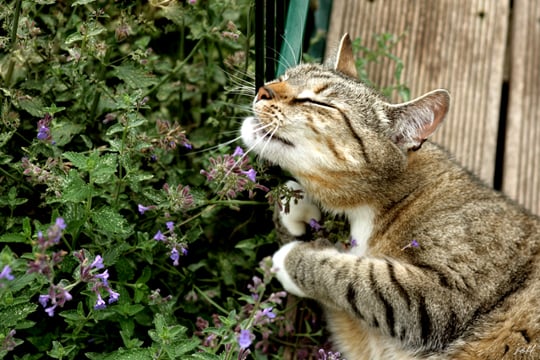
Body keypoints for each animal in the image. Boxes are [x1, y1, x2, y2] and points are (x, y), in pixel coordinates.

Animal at [240, 33, 540, 358]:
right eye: (283, 77)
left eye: (316, 102)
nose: (264, 88)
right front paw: (296, 206)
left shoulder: (443, 294)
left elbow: (356, 277)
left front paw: (290, 259)